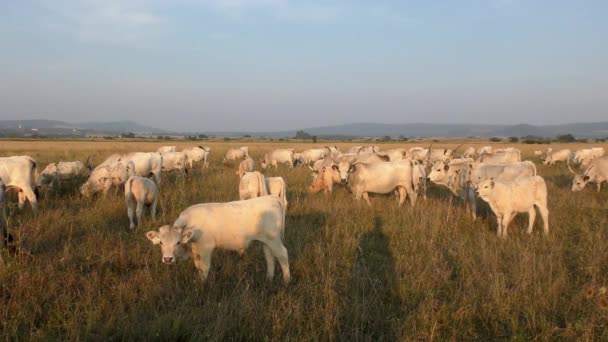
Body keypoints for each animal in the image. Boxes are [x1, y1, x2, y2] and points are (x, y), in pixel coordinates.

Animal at [146, 195, 290, 284]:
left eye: (178, 242)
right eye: (161, 242)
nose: (168, 259)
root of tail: (271, 197)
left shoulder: (206, 247)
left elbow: (204, 268)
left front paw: (202, 285)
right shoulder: (196, 249)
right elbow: (198, 266)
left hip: (274, 240)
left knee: (282, 255)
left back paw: (286, 280)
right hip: (266, 241)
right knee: (270, 257)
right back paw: (269, 278)